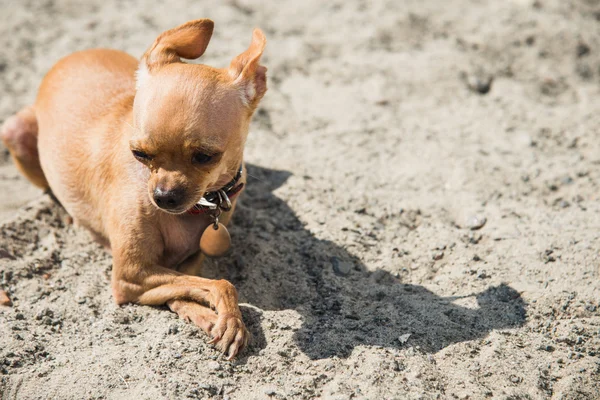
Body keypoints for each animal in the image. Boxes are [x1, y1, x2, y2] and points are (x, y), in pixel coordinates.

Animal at [0, 19, 268, 360]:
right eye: (139, 154)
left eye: (205, 157)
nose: (163, 197)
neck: (199, 208)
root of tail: (71, 56)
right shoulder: (130, 274)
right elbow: (219, 283)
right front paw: (221, 316)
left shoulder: (188, 258)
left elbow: (195, 279)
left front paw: (211, 314)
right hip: (15, 131)